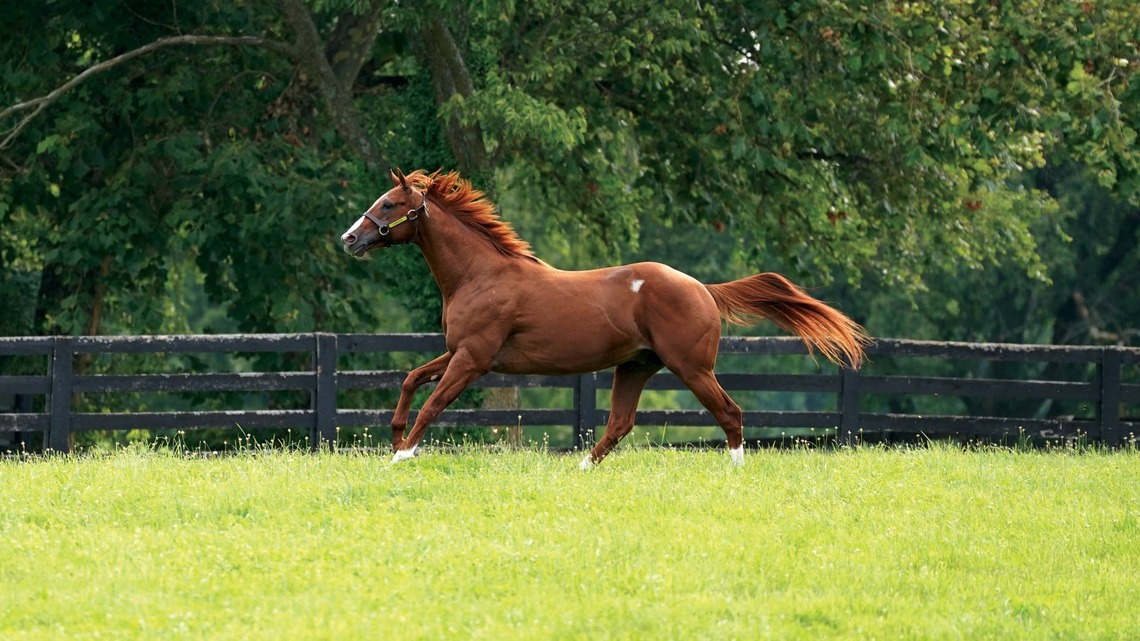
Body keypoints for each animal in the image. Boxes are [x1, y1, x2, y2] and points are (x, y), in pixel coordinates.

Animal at [340, 169, 869, 467]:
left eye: (389, 203)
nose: (349, 239)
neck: (481, 274)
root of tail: (702, 288)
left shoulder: (473, 359)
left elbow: (434, 404)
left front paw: (401, 456)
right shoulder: (458, 352)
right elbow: (411, 379)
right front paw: (394, 439)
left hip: (692, 368)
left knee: (730, 413)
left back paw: (735, 472)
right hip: (635, 366)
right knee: (620, 424)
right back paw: (579, 470)